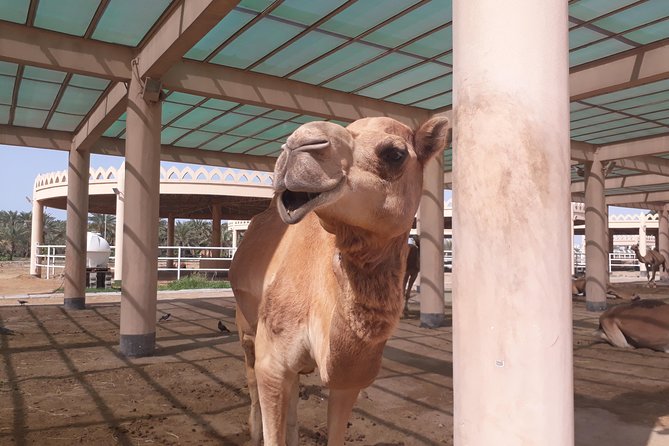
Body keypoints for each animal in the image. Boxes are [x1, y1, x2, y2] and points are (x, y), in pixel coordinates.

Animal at [229, 116, 449, 445]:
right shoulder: (273, 362)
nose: (295, 146)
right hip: (246, 325)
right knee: (250, 368)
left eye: (395, 154)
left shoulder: (350, 379)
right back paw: (253, 428)